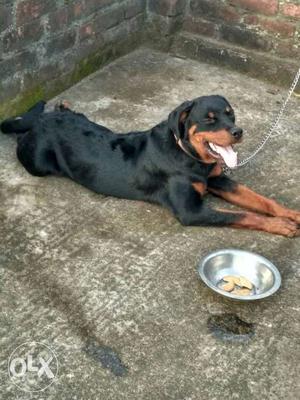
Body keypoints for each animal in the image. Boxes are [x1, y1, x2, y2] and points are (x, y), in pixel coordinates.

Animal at [1, 95, 298, 236]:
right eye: (210, 119)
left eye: (231, 114)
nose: (238, 132)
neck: (188, 156)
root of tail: (40, 122)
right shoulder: (191, 211)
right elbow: (244, 215)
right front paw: (281, 225)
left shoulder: (218, 179)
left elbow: (260, 200)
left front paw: (290, 214)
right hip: (37, 161)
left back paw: (63, 106)